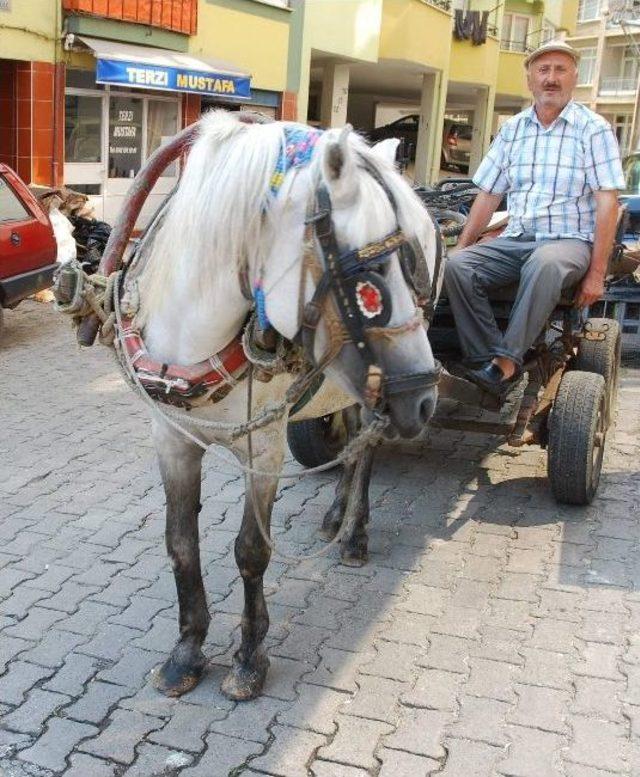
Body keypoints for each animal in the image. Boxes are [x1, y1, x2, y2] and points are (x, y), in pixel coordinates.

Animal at [129, 112, 440, 700]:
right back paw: (338, 513)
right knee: (351, 435)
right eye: (370, 277)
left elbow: (252, 550)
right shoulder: (170, 437)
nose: (426, 399)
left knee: (368, 447)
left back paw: (355, 531)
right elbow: (180, 541)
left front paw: (250, 657)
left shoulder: (264, 448)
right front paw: (186, 652)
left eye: (409, 262)